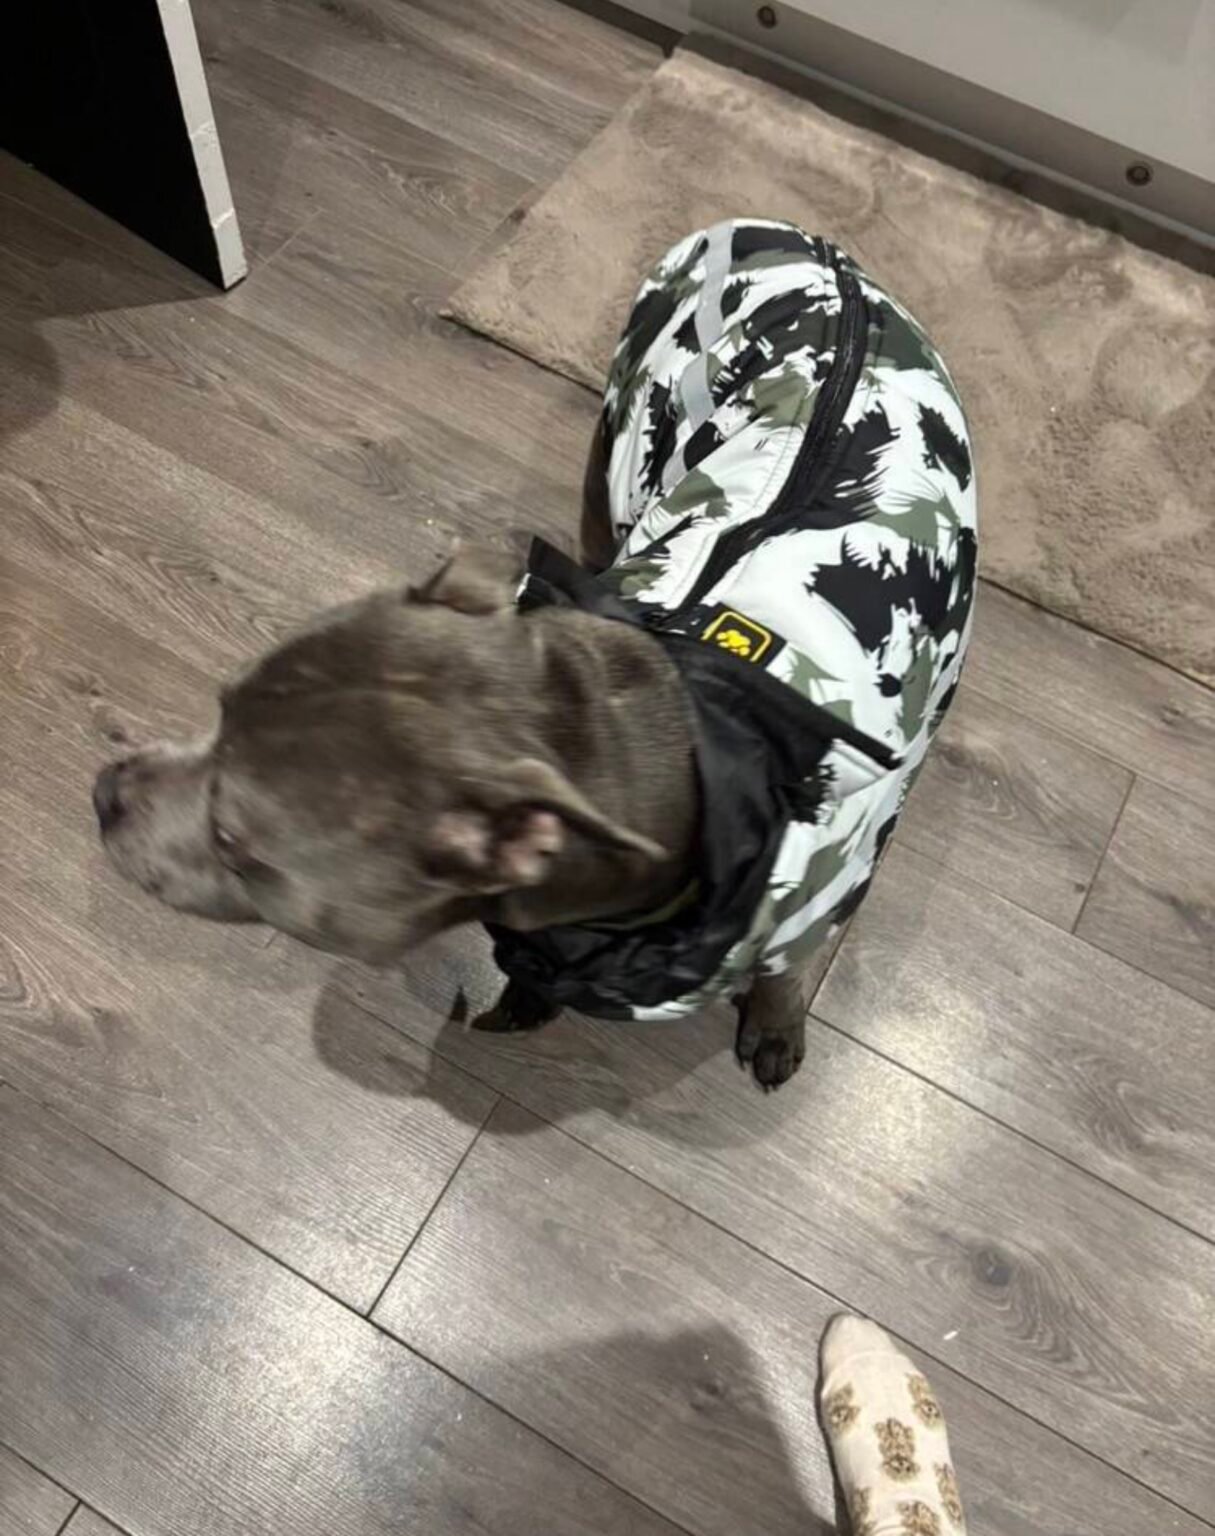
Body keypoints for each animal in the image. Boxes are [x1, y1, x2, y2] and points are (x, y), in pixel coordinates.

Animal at [95, 220, 976, 1089]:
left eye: (234, 845)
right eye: (216, 710)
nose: (103, 790)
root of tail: (802, 238)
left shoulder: (819, 895)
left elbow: (786, 969)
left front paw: (775, 1021)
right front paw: (527, 992)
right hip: (619, 440)